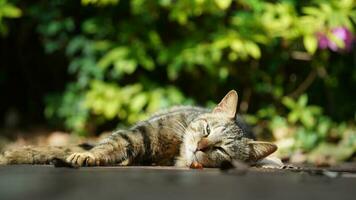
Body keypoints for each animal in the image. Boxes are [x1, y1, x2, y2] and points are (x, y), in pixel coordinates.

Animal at [0, 90, 280, 168]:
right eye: (207, 130)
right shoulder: (139, 133)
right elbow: (106, 145)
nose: (200, 146)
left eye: (221, 150)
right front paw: (88, 157)